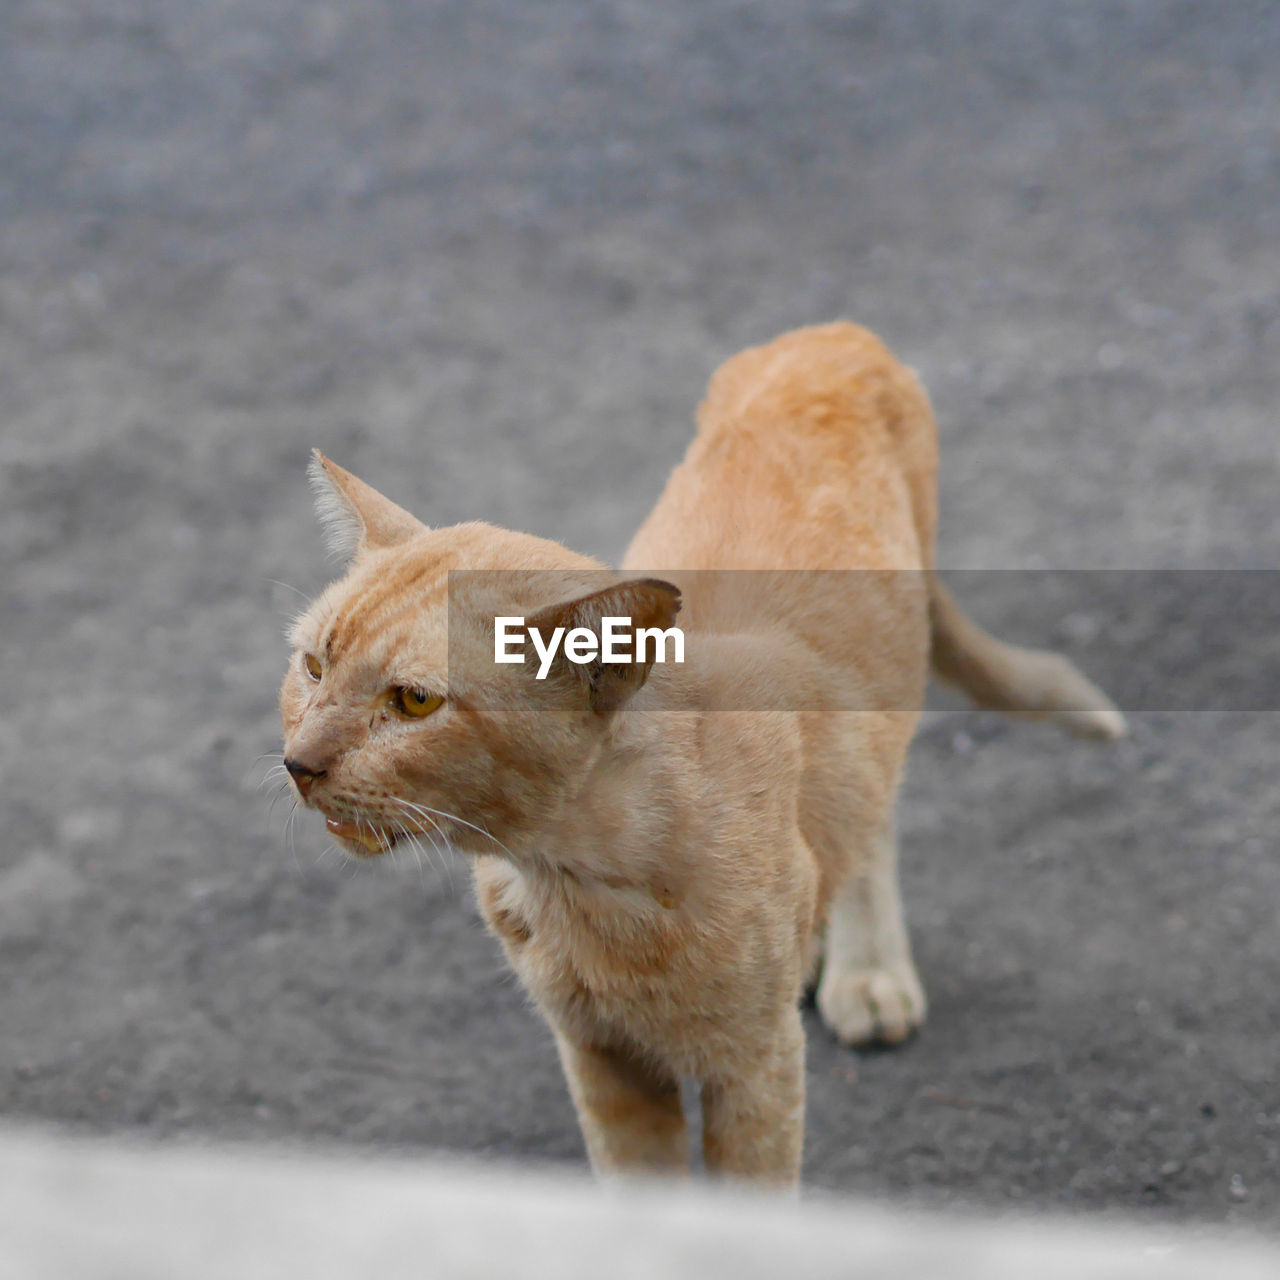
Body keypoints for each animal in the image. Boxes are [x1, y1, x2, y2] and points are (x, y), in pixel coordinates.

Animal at [280, 322, 1121, 1187]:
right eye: (312, 666)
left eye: (414, 702)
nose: (298, 762)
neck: (584, 878)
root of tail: (831, 333)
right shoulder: (601, 1060)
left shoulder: (754, 1067)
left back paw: (867, 967)